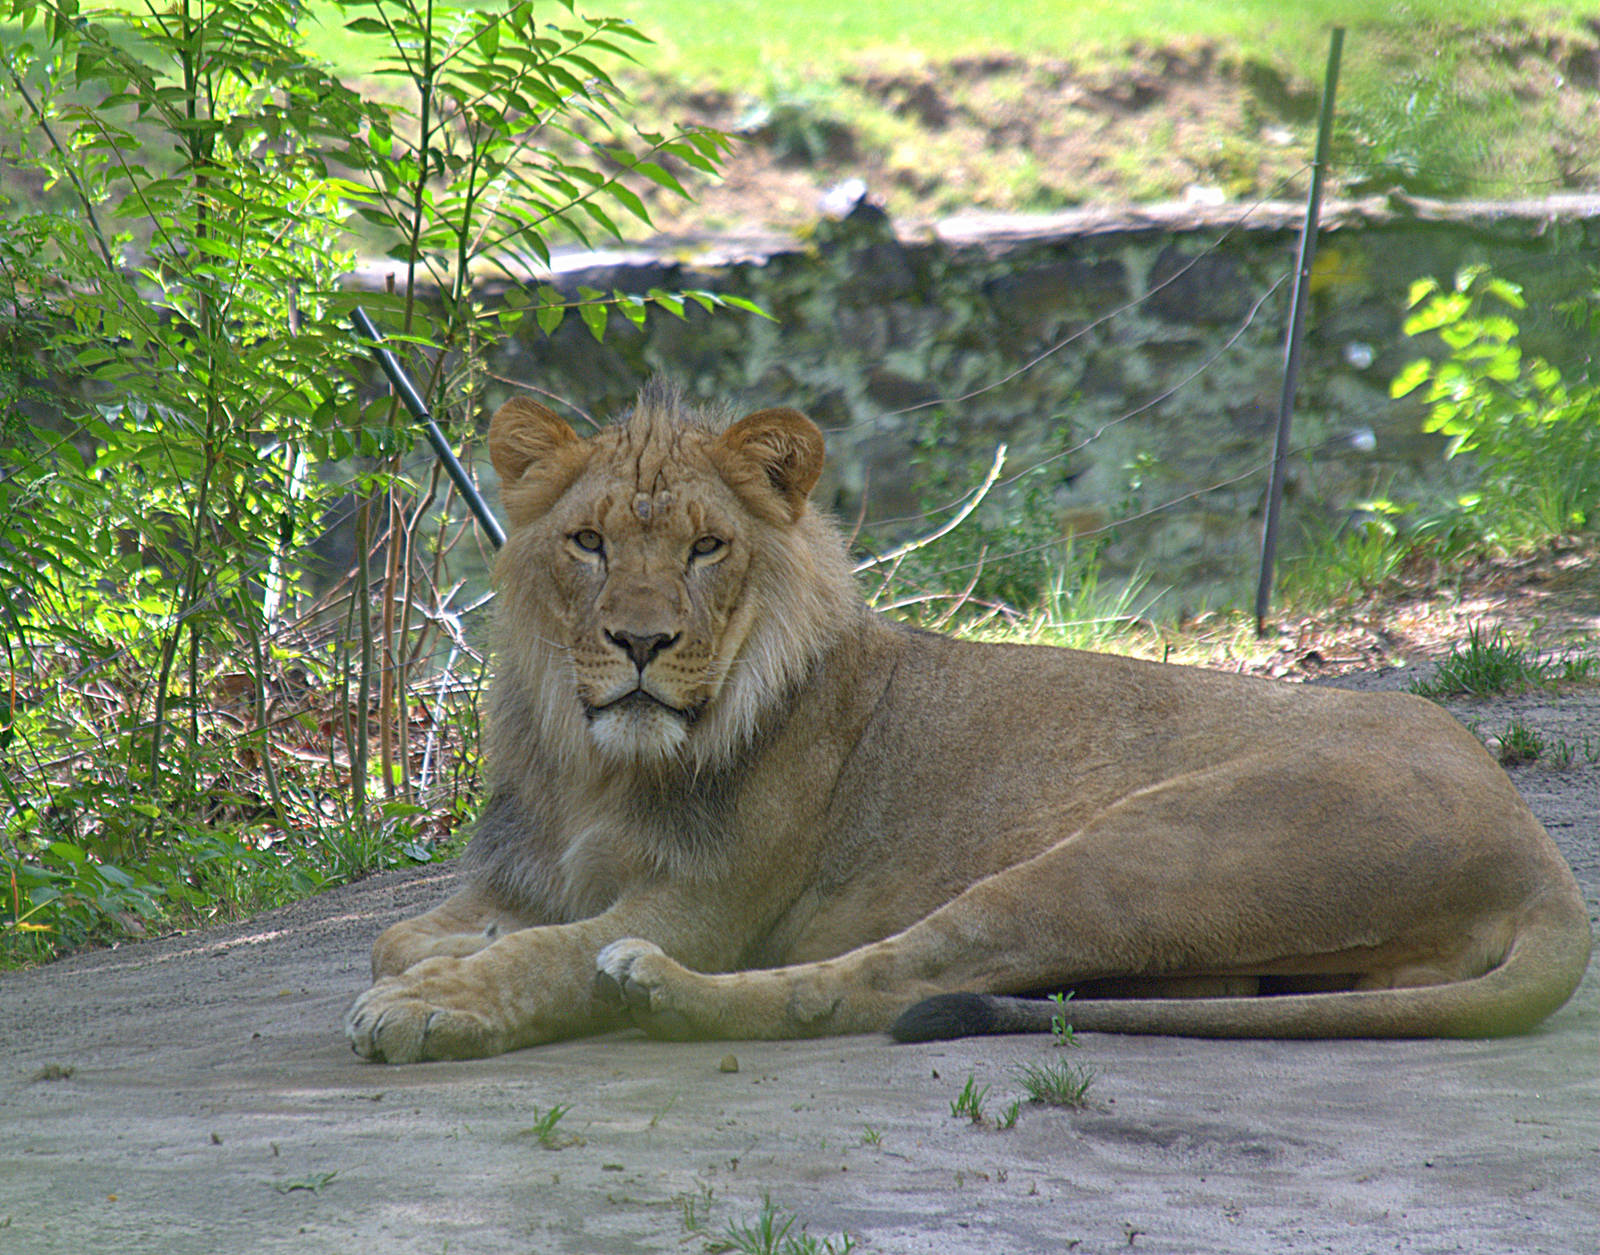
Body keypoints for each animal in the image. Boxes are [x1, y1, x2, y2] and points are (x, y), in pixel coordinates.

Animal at [344, 382, 1591, 1063]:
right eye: (590, 543)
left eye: (704, 548)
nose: (640, 643)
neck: (592, 765)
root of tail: (1538, 855)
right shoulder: (529, 866)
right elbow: (402, 931)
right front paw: (445, 955)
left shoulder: (707, 901)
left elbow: (546, 953)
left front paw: (436, 1003)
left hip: (1147, 853)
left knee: (866, 983)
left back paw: (651, 987)